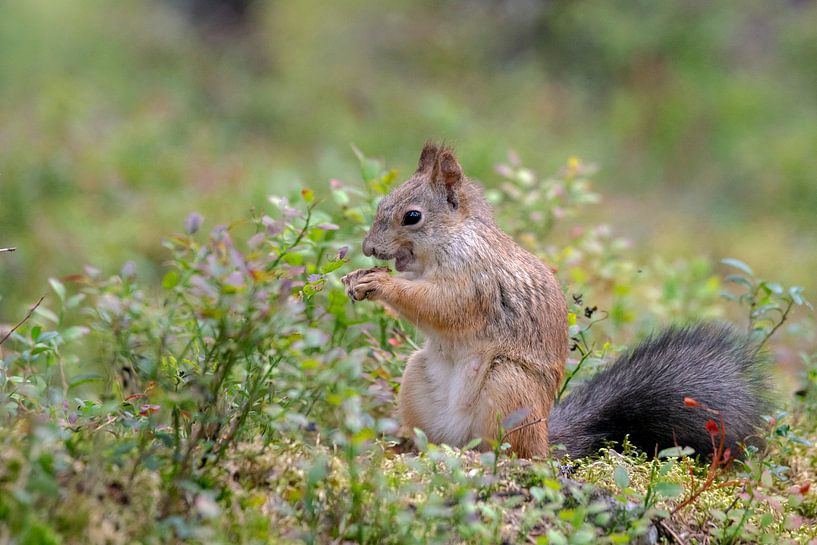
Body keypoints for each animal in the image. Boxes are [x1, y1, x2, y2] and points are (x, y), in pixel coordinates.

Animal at [340, 142, 772, 456]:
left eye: (412, 217)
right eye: (382, 204)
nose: (368, 248)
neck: (452, 239)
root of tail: (546, 440)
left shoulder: (476, 281)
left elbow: (443, 307)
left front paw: (381, 285)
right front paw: (356, 278)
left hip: (509, 387)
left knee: (512, 451)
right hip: (417, 378)